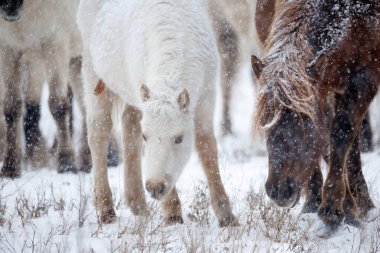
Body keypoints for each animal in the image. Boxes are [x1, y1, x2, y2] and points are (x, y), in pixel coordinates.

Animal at [77, 0, 238, 225]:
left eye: (178, 139)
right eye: (147, 137)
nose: (154, 187)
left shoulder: (206, 98)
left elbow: (207, 148)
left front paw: (226, 215)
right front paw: (172, 213)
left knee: (129, 125)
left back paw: (138, 205)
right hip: (93, 73)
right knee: (99, 132)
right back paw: (106, 210)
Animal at [252, 0, 378, 229]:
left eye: (305, 121)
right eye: (265, 120)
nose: (279, 191)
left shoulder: (366, 76)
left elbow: (341, 134)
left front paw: (333, 208)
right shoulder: (323, 89)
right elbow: (326, 144)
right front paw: (320, 204)